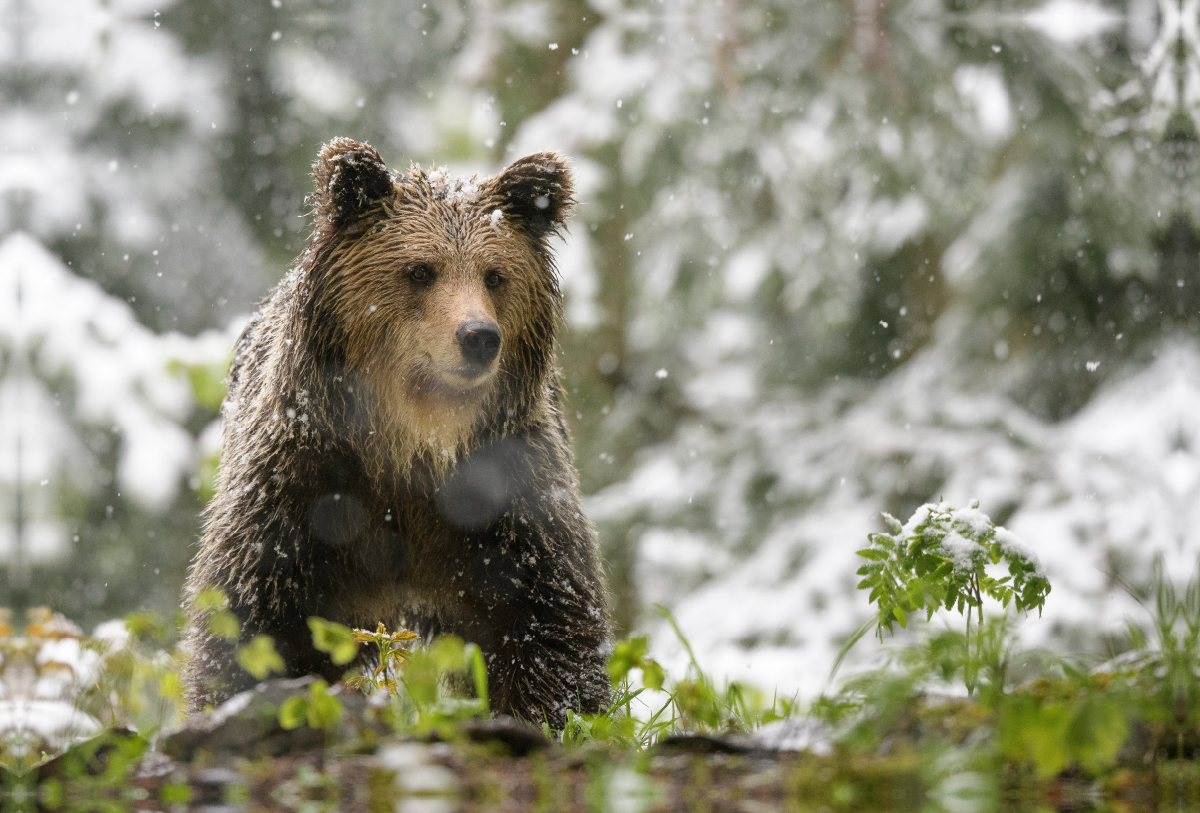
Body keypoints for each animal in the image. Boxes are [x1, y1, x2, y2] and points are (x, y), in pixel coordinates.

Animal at [182, 136, 614, 729]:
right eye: (421, 270)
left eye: (494, 274)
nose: (478, 336)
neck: (414, 441)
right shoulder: (304, 480)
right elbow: (253, 616)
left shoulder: (507, 494)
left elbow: (549, 614)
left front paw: (558, 713)